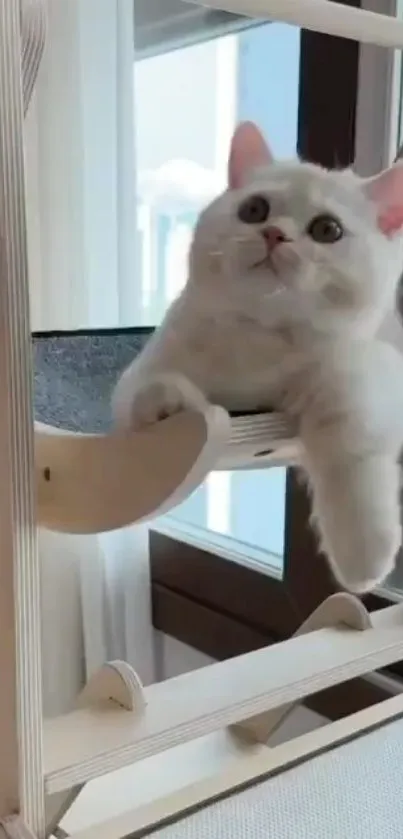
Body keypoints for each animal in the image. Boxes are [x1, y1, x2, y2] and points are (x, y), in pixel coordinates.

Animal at [113, 121, 403, 592]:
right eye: (254, 209)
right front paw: (168, 403)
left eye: (327, 229)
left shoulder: (360, 378)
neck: (258, 339)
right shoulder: (145, 370)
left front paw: (364, 560)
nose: (273, 233)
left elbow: (353, 457)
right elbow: (146, 390)